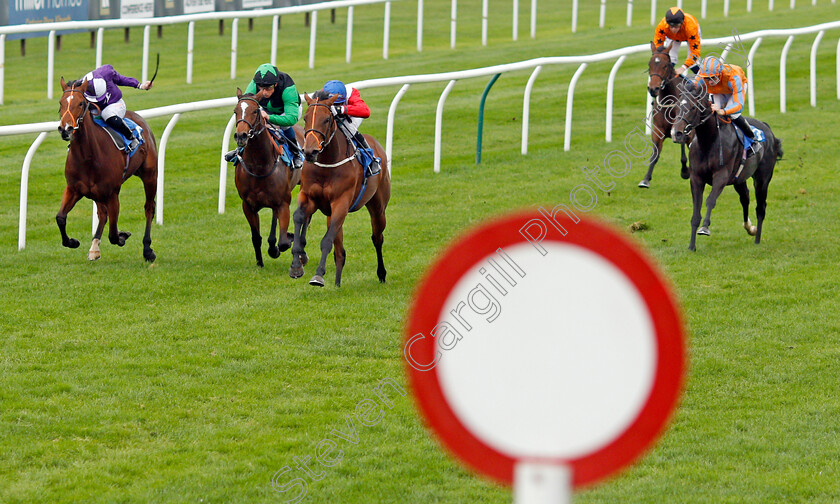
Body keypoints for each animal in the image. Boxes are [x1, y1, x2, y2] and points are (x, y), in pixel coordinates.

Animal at [56, 78, 158, 264]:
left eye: (81, 103)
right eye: (60, 103)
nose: (65, 129)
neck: (88, 155)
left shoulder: (112, 194)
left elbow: (113, 234)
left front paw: (123, 236)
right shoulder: (73, 189)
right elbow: (60, 218)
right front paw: (73, 242)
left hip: (150, 175)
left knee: (149, 207)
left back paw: (147, 249)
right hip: (96, 193)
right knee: (102, 214)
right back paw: (94, 247)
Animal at [231, 89, 304, 268]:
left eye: (255, 111)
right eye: (235, 111)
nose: (241, 135)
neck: (259, 165)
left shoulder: (283, 203)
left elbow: (283, 242)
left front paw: (287, 241)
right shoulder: (248, 205)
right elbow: (256, 237)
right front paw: (260, 262)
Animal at [288, 91, 390, 288]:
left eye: (327, 119)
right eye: (305, 118)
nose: (310, 151)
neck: (326, 165)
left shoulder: (341, 203)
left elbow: (327, 240)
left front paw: (318, 275)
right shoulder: (309, 197)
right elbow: (298, 217)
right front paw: (296, 264)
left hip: (378, 207)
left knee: (377, 238)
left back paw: (381, 274)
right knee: (340, 251)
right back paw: (337, 283)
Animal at [640, 40, 692, 188]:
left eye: (665, 65)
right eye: (649, 65)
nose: (653, 89)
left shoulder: (686, 131)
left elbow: (684, 153)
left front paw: (685, 171)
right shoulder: (658, 131)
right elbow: (655, 154)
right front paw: (646, 179)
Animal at [668, 79, 780, 251]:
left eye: (693, 107)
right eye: (678, 106)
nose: (676, 133)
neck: (708, 141)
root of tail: (767, 128)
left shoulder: (721, 176)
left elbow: (710, 200)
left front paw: (705, 228)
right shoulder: (696, 178)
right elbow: (696, 211)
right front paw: (692, 246)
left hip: (762, 178)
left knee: (761, 207)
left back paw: (757, 239)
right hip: (739, 179)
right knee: (745, 198)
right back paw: (749, 227)